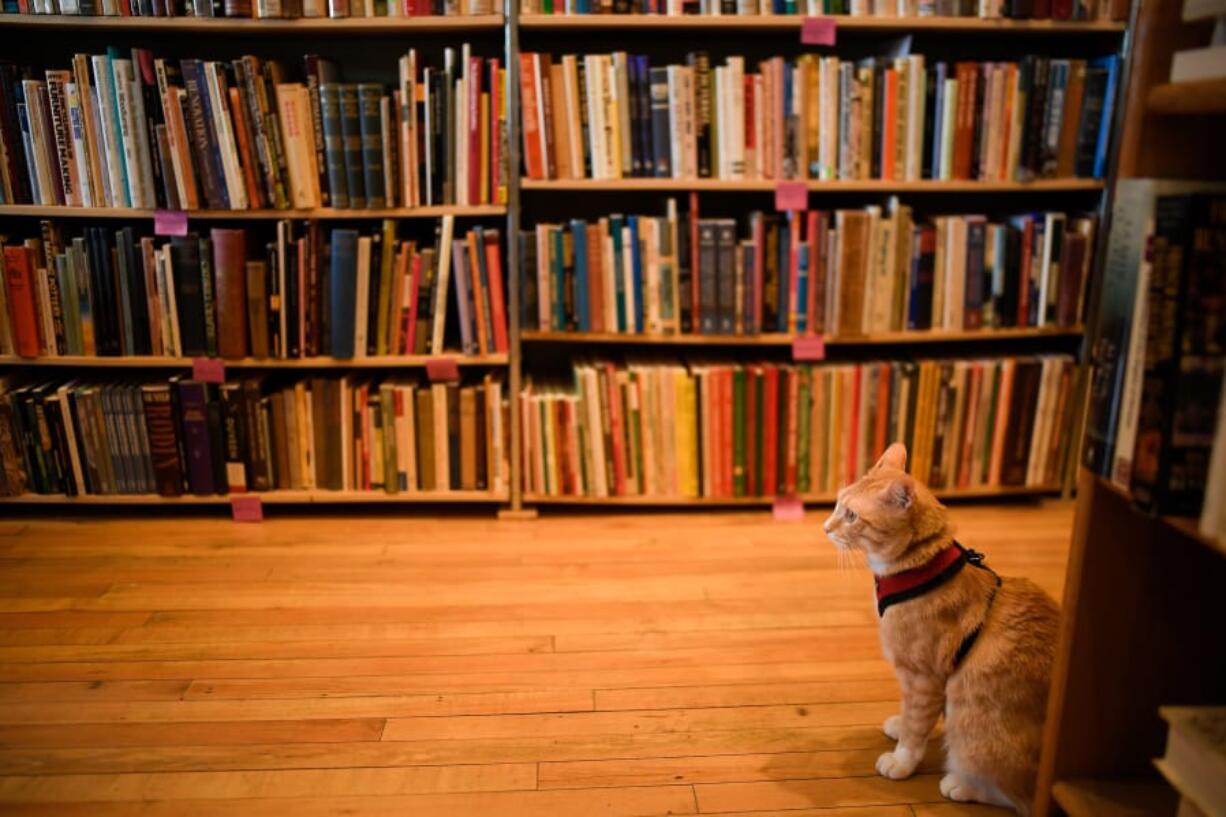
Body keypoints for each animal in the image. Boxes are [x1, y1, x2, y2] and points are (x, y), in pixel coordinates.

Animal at [828, 441, 1059, 809]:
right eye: (838, 503)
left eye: (851, 515)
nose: (825, 527)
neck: (921, 569)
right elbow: (911, 714)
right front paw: (899, 723)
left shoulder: (924, 676)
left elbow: (916, 725)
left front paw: (901, 761)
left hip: (970, 719)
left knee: (1015, 796)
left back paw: (962, 785)